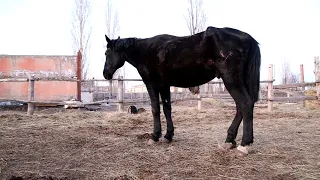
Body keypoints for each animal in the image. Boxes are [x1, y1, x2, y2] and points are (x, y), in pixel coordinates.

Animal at [104, 26, 262, 156]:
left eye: (106, 53)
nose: (105, 74)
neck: (145, 51)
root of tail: (248, 39)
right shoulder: (164, 85)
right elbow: (167, 108)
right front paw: (168, 136)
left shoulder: (152, 84)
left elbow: (155, 109)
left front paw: (155, 136)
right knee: (241, 107)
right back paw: (229, 140)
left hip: (231, 80)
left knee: (245, 104)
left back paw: (244, 144)